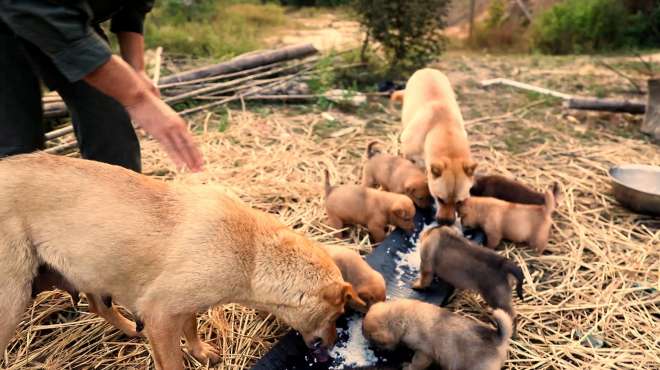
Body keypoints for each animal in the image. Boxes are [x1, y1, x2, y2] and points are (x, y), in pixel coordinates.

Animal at [0, 153, 366, 370]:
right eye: (336, 315)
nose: (333, 342)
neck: (252, 255)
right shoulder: (161, 314)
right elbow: (173, 360)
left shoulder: (183, 305)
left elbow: (191, 326)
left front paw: (200, 352)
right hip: (13, 300)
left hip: (93, 271)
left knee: (98, 306)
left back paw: (129, 329)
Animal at [364, 300, 512, 370]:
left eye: (373, 340)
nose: (370, 346)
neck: (405, 318)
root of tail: (498, 338)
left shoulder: (424, 353)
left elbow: (416, 364)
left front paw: (408, 367)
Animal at [394, 68, 476, 225]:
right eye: (440, 199)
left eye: (459, 202)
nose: (446, 222)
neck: (442, 126)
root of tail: (427, 69)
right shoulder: (407, 155)